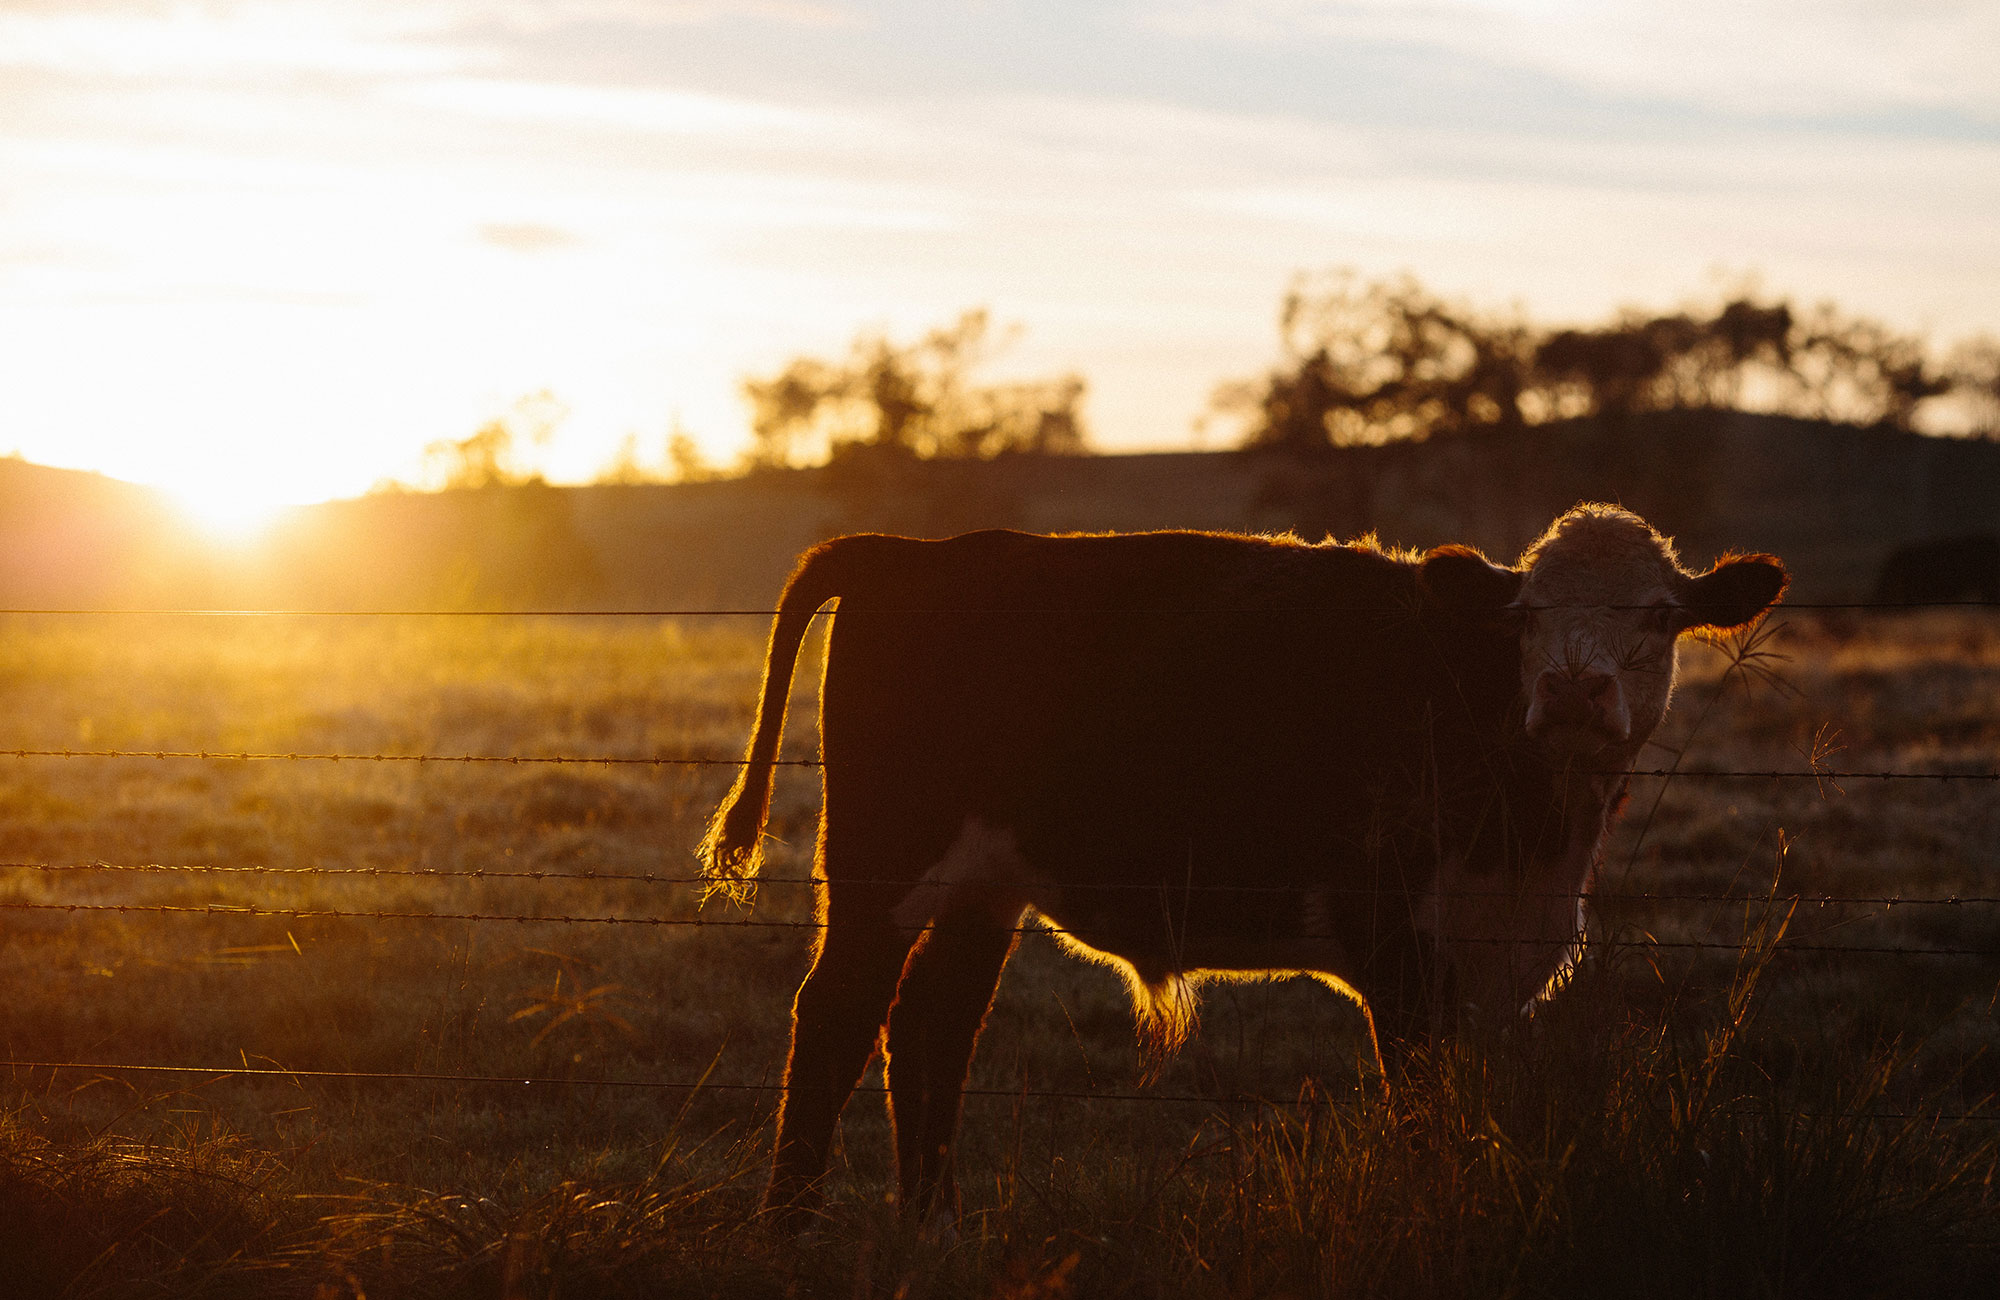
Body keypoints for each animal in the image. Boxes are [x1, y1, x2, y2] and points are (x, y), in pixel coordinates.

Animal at [700, 503, 1787, 1222]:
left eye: (1659, 616)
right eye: (1522, 616)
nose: (1569, 688)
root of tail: (910, 553)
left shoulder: (1490, 963)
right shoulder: (1394, 946)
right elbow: (1421, 1116)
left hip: (984, 881)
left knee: (932, 1021)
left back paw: (933, 1225)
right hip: (880, 861)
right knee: (836, 1015)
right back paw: (790, 1229)